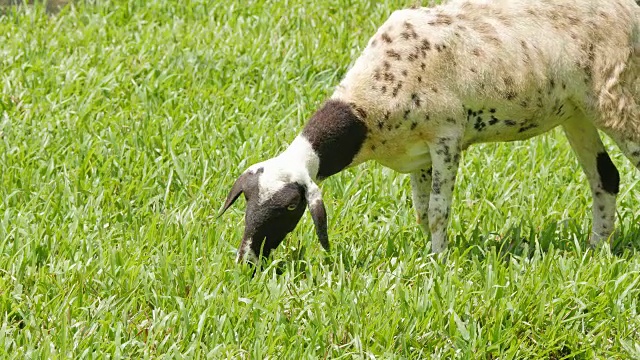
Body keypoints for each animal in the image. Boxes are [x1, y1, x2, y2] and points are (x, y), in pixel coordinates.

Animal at [220, 0, 640, 262]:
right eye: (247, 201)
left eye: (291, 207)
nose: (247, 260)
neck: (367, 103)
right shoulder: (418, 154)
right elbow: (422, 210)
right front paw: (426, 251)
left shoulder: (446, 139)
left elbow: (438, 210)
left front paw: (438, 260)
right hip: (576, 111)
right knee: (606, 178)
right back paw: (597, 248)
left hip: (616, 98)